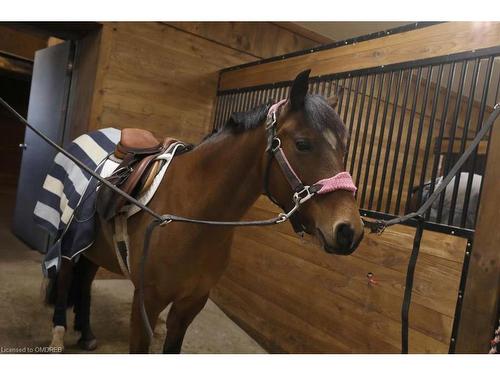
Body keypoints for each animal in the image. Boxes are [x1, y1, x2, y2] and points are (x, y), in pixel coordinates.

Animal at [46, 69, 364, 354]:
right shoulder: (146, 302)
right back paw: (58, 335)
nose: (349, 231)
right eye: (302, 144)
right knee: (64, 281)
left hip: (93, 247)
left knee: (85, 282)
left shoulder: (190, 304)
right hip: (68, 242)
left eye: (344, 148)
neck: (192, 216)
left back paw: (87, 333)